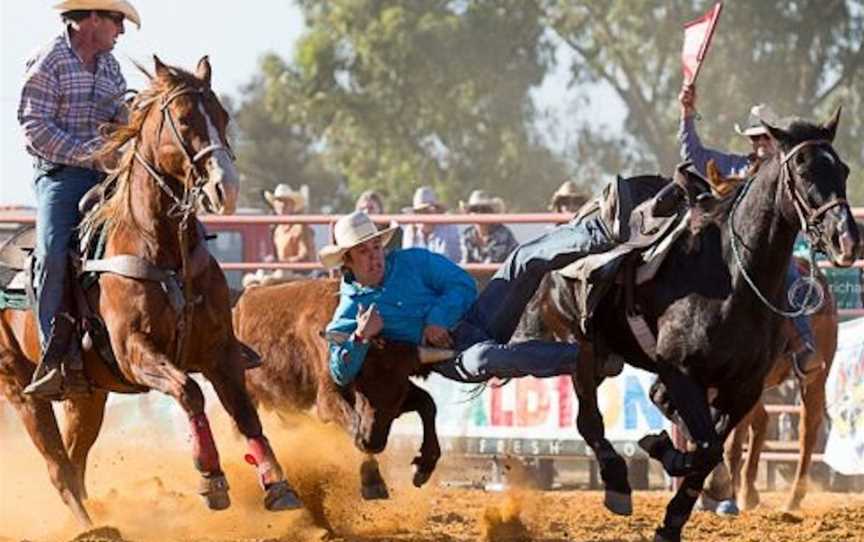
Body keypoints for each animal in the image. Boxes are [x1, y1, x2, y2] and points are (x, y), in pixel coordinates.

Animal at [0, 57, 300, 528]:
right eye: (185, 119)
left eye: (223, 117)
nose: (226, 187)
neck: (162, 251)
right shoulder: (135, 351)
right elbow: (189, 392)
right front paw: (211, 479)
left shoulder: (221, 351)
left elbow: (245, 412)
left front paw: (277, 484)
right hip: (20, 388)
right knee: (58, 467)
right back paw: (92, 529)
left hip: (88, 396)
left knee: (75, 460)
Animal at [528, 111, 856, 542]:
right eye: (802, 170)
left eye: (844, 169)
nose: (846, 240)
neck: (731, 277)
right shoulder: (682, 371)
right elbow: (707, 443)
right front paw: (691, 487)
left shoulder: (743, 387)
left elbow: (711, 443)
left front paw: (684, 502)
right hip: (582, 347)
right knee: (590, 419)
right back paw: (619, 483)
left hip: (811, 375)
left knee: (805, 427)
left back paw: (785, 497)